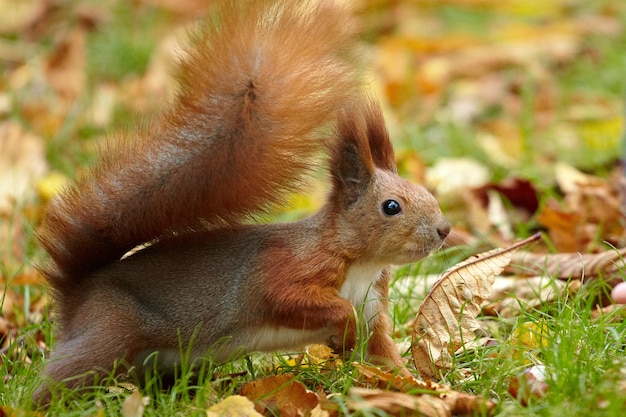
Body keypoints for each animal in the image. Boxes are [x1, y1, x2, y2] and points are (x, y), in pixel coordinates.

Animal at [33, 0, 448, 404]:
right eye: (391, 206)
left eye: (429, 192)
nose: (444, 230)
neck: (360, 263)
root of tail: (77, 295)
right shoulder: (284, 269)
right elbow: (290, 298)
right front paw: (343, 332)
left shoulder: (373, 307)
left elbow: (383, 356)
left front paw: (422, 388)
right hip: (110, 330)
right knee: (66, 375)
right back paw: (37, 402)